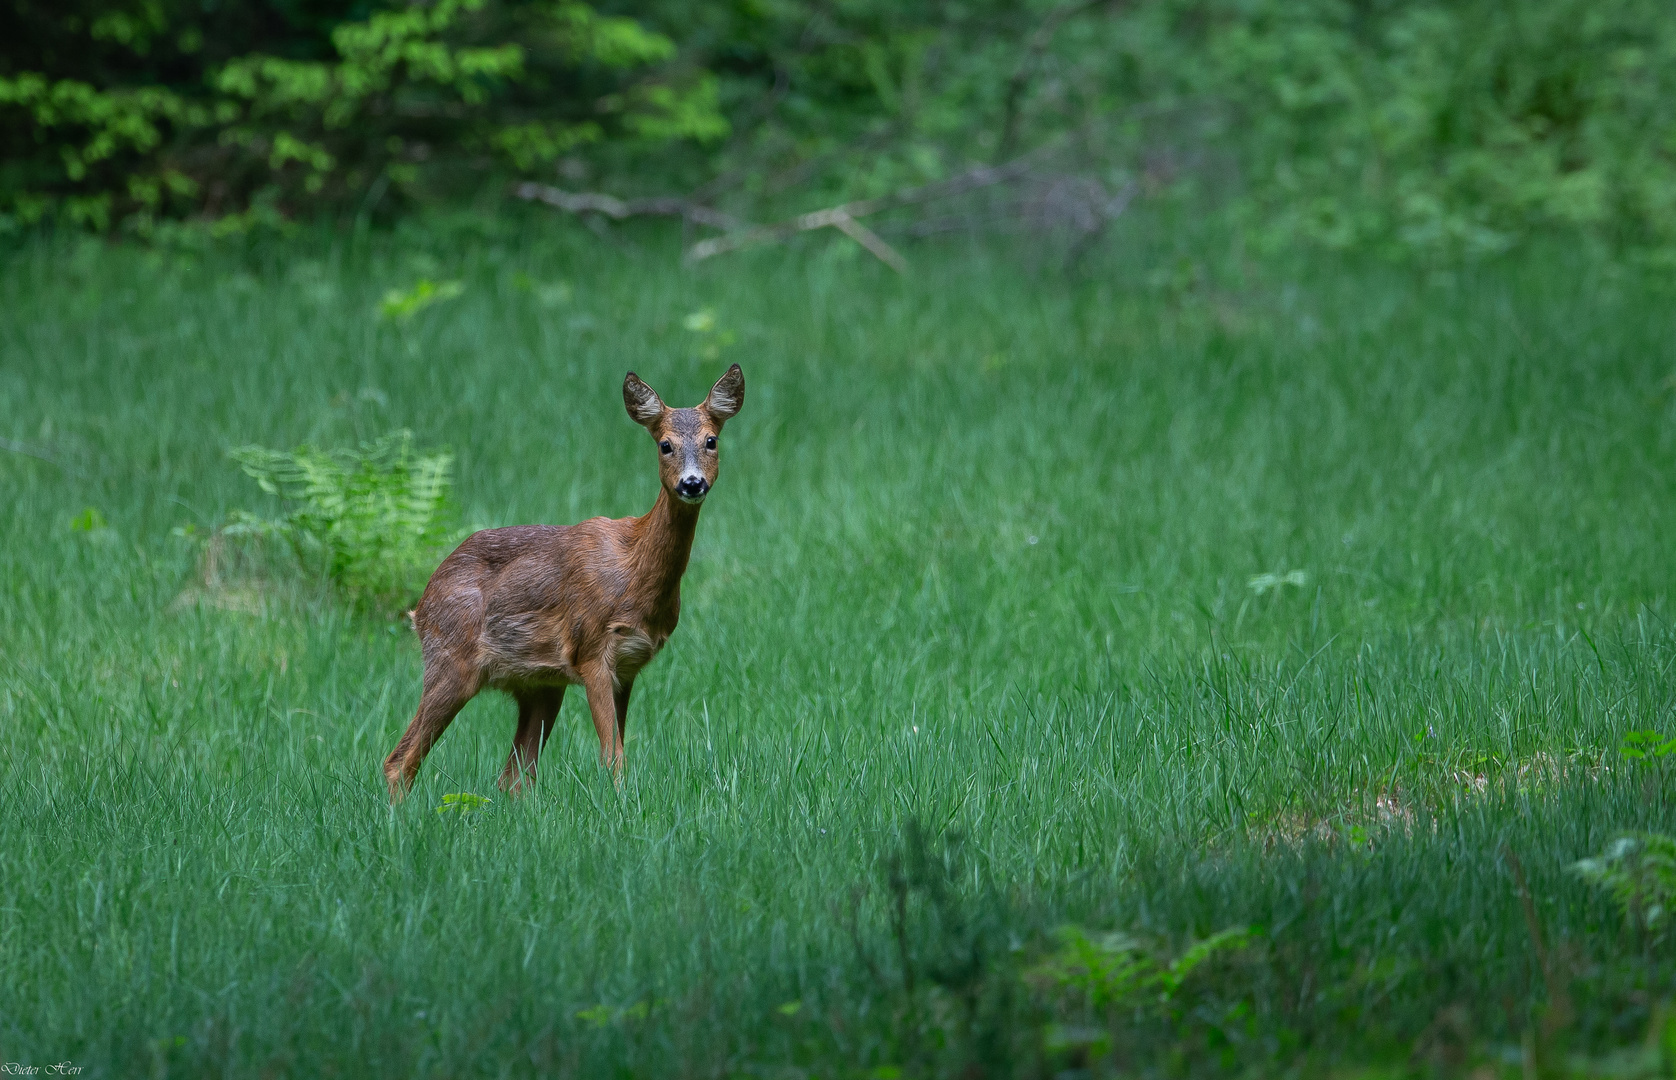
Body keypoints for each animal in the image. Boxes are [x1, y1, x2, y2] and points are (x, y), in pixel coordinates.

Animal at [383, 367, 750, 798]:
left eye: (712, 440)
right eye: (665, 445)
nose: (692, 483)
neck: (633, 573)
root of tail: (420, 606)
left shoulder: (627, 668)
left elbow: (616, 747)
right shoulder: (591, 649)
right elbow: (612, 756)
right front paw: (621, 802)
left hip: (539, 686)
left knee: (513, 778)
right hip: (450, 660)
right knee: (400, 760)